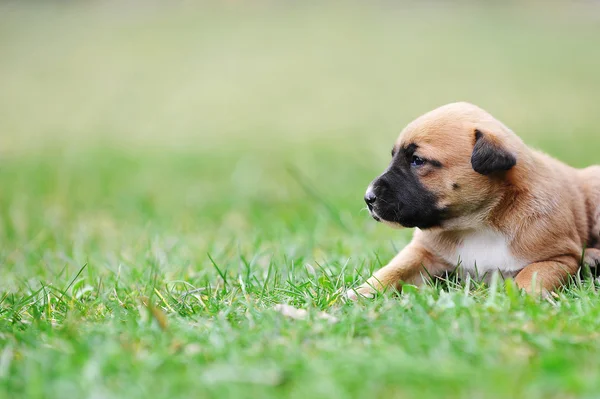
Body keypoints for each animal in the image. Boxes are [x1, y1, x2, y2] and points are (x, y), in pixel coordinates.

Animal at [346, 103, 600, 300]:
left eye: (417, 160)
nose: (368, 198)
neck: (479, 223)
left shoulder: (559, 258)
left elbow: (533, 274)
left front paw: (520, 298)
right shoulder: (423, 252)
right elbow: (394, 269)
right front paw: (362, 292)